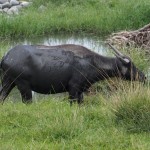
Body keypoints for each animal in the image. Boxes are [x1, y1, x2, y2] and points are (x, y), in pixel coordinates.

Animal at [0, 43, 145, 104]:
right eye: (132, 65)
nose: (144, 76)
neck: (91, 63)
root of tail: (6, 56)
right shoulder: (73, 89)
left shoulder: (80, 91)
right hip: (23, 86)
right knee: (27, 102)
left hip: (8, 82)